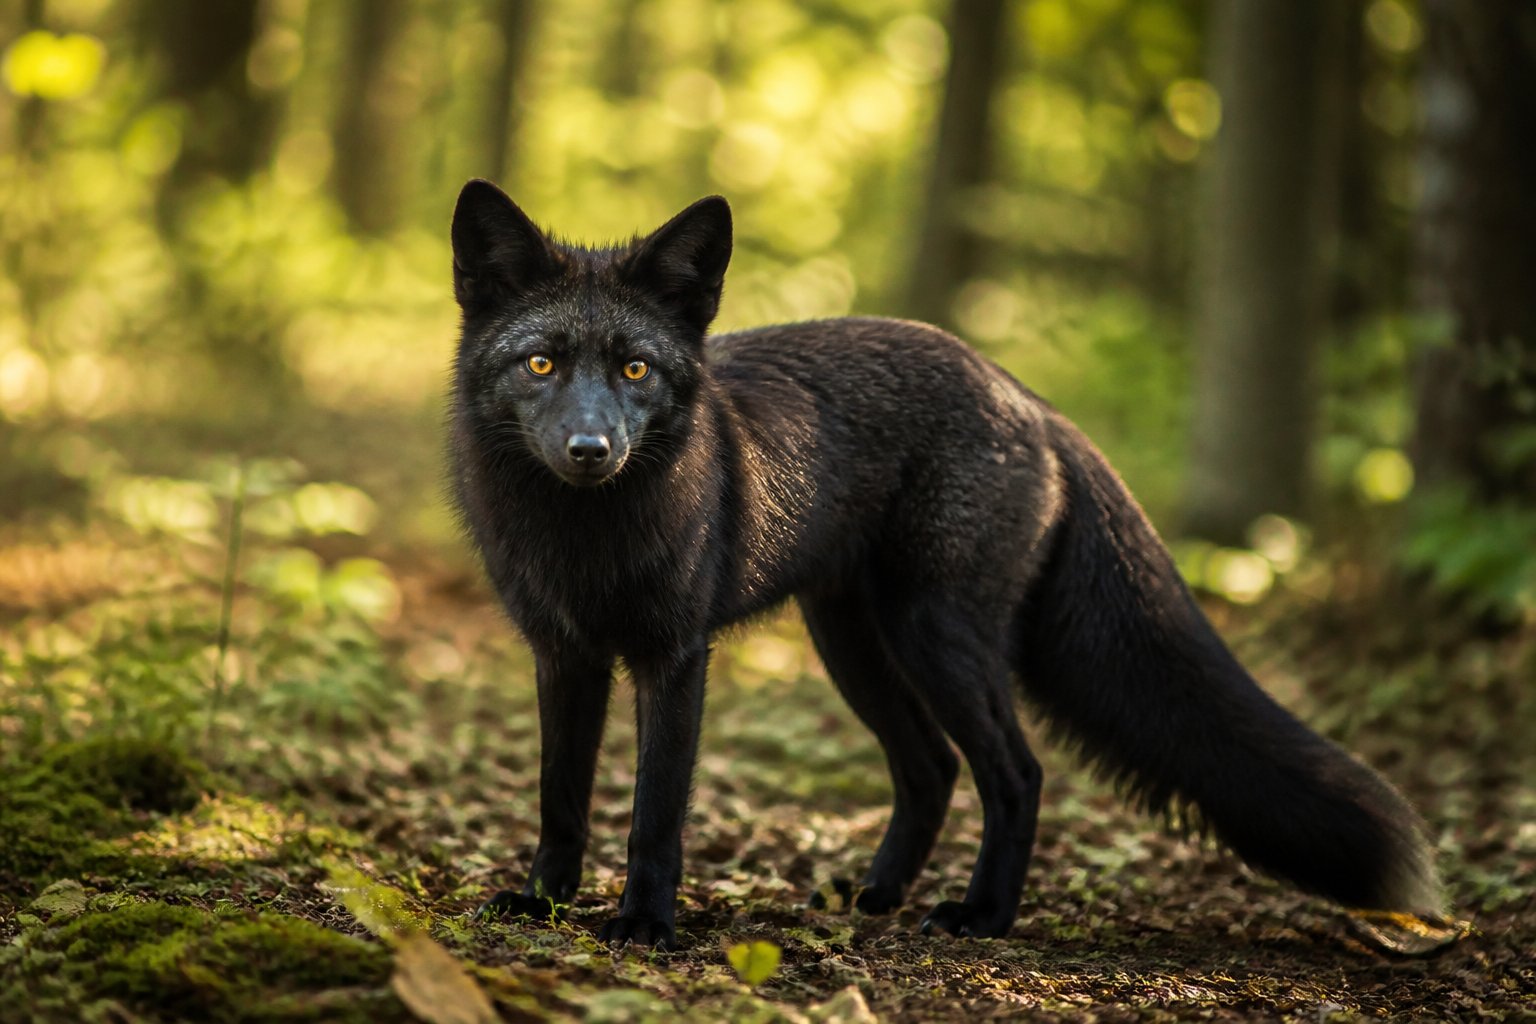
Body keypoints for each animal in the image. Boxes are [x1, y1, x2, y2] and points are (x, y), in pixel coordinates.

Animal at [447, 179, 1441, 951]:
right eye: (540, 364)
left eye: (636, 371)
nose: (590, 450)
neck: (584, 542)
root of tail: (1027, 397)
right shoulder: (564, 655)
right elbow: (561, 797)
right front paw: (543, 904)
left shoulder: (676, 656)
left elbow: (655, 811)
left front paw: (646, 924)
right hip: (856, 642)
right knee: (930, 770)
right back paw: (878, 896)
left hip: (936, 637)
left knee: (1014, 773)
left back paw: (981, 915)